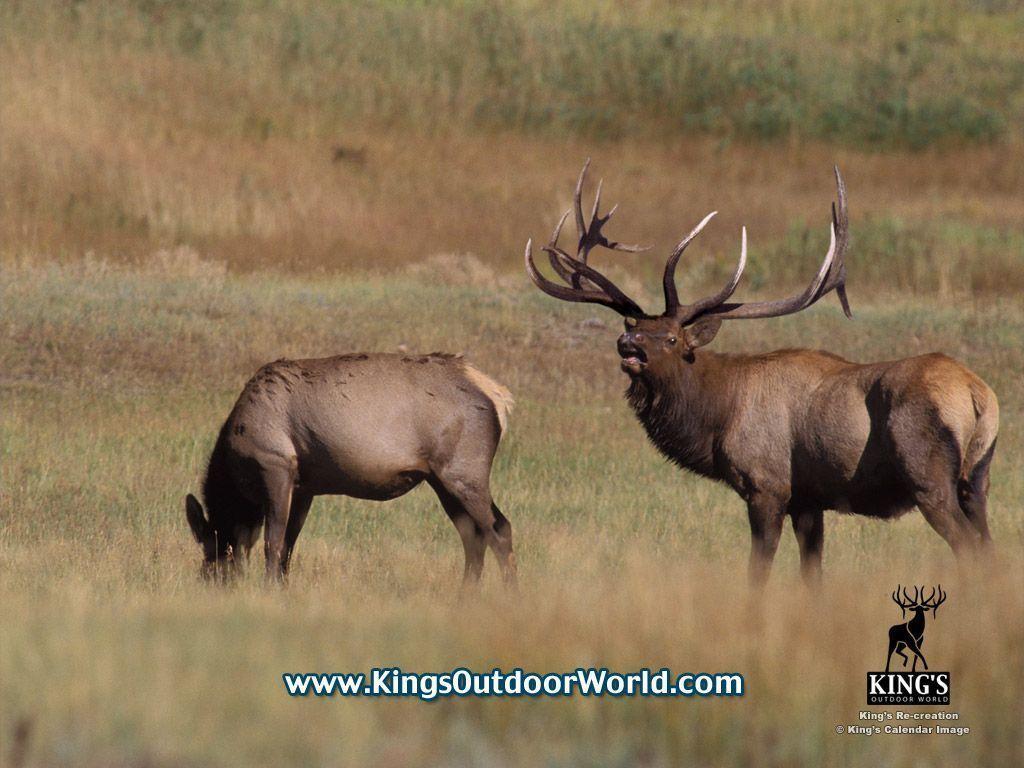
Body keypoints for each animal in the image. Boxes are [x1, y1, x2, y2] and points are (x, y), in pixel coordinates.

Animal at [185, 353, 516, 586]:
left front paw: (268, 589)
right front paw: (282, 588)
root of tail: (498, 396)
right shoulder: (304, 488)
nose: (209, 582)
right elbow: (289, 547)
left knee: (499, 530)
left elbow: (273, 544)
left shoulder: (275, 466)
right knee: (475, 537)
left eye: (211, 550)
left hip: (463, 473)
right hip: (442, 480)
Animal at [525, 160, 999, 585]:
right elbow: (812, 575)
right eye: (631, 324)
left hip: (928, 476)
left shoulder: (766, 485)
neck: (719, 415)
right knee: (989, 546)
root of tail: (977, 395)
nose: (629, 345)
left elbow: (758, 571)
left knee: (969, 549)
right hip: (977, 481)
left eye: (673, 339)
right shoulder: (809, 498)